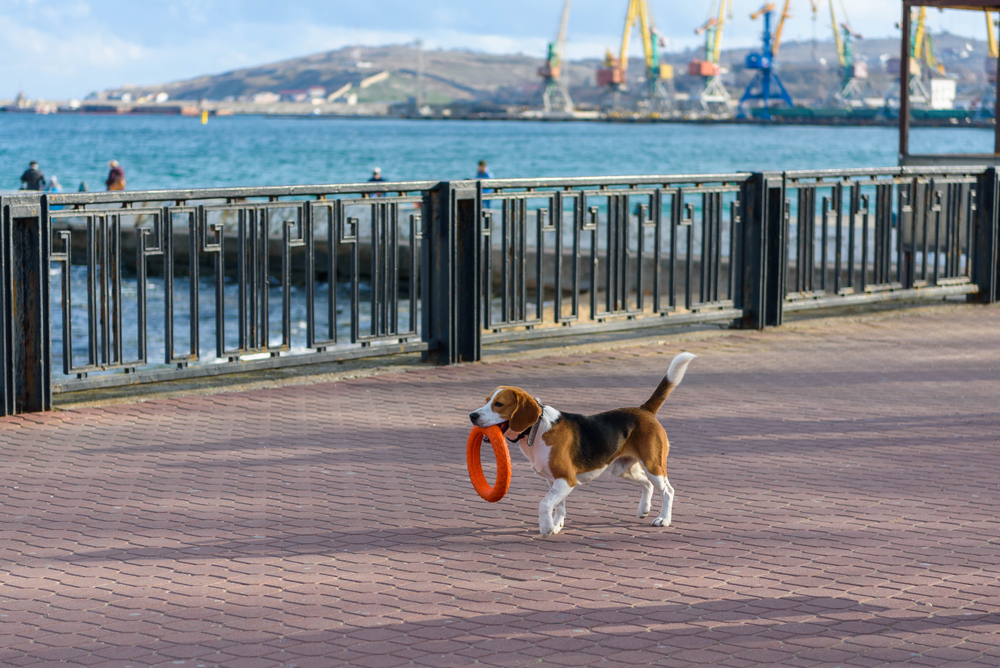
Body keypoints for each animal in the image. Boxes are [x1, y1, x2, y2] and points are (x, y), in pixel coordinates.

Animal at [468, 354, 696, 536]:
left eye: (499, 404)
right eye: (486, 401)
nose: (472, 415)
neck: (536, 429)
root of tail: (644, 409)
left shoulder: (566, 480)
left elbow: (544, 503)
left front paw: (546, 528)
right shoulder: (554, 481)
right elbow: (558, 506)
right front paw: (556, 525)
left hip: (653, 465)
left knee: (668, 491)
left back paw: (663, 519)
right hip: (622, 468)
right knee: (647, 484)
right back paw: (644, 510)